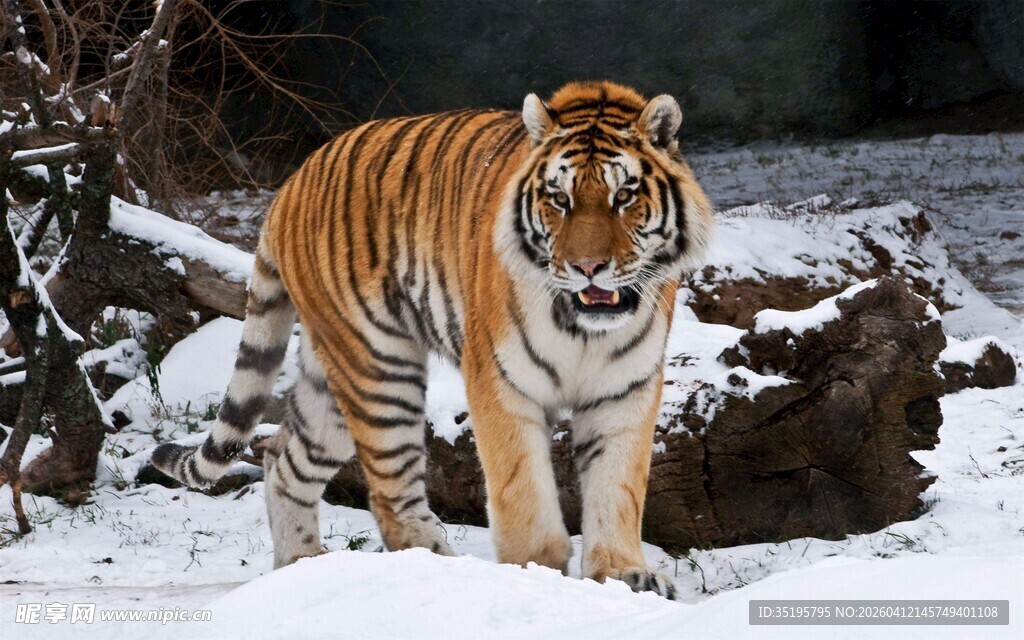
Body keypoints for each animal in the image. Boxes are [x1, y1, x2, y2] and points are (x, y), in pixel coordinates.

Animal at [152, 81, 713, 600]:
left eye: (624, 197)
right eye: (560, 199)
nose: (587, 267)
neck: (584, 327)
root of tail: (291, 184)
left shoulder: (624, 390)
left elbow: (618, 488)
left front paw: (623, 575)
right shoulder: (499, 382)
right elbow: (521, 489)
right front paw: (536, 572)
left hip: (329, 380)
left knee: (282, 458)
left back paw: (301, 568)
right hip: (377, 366)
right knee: (388, 492)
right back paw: (440, 570)